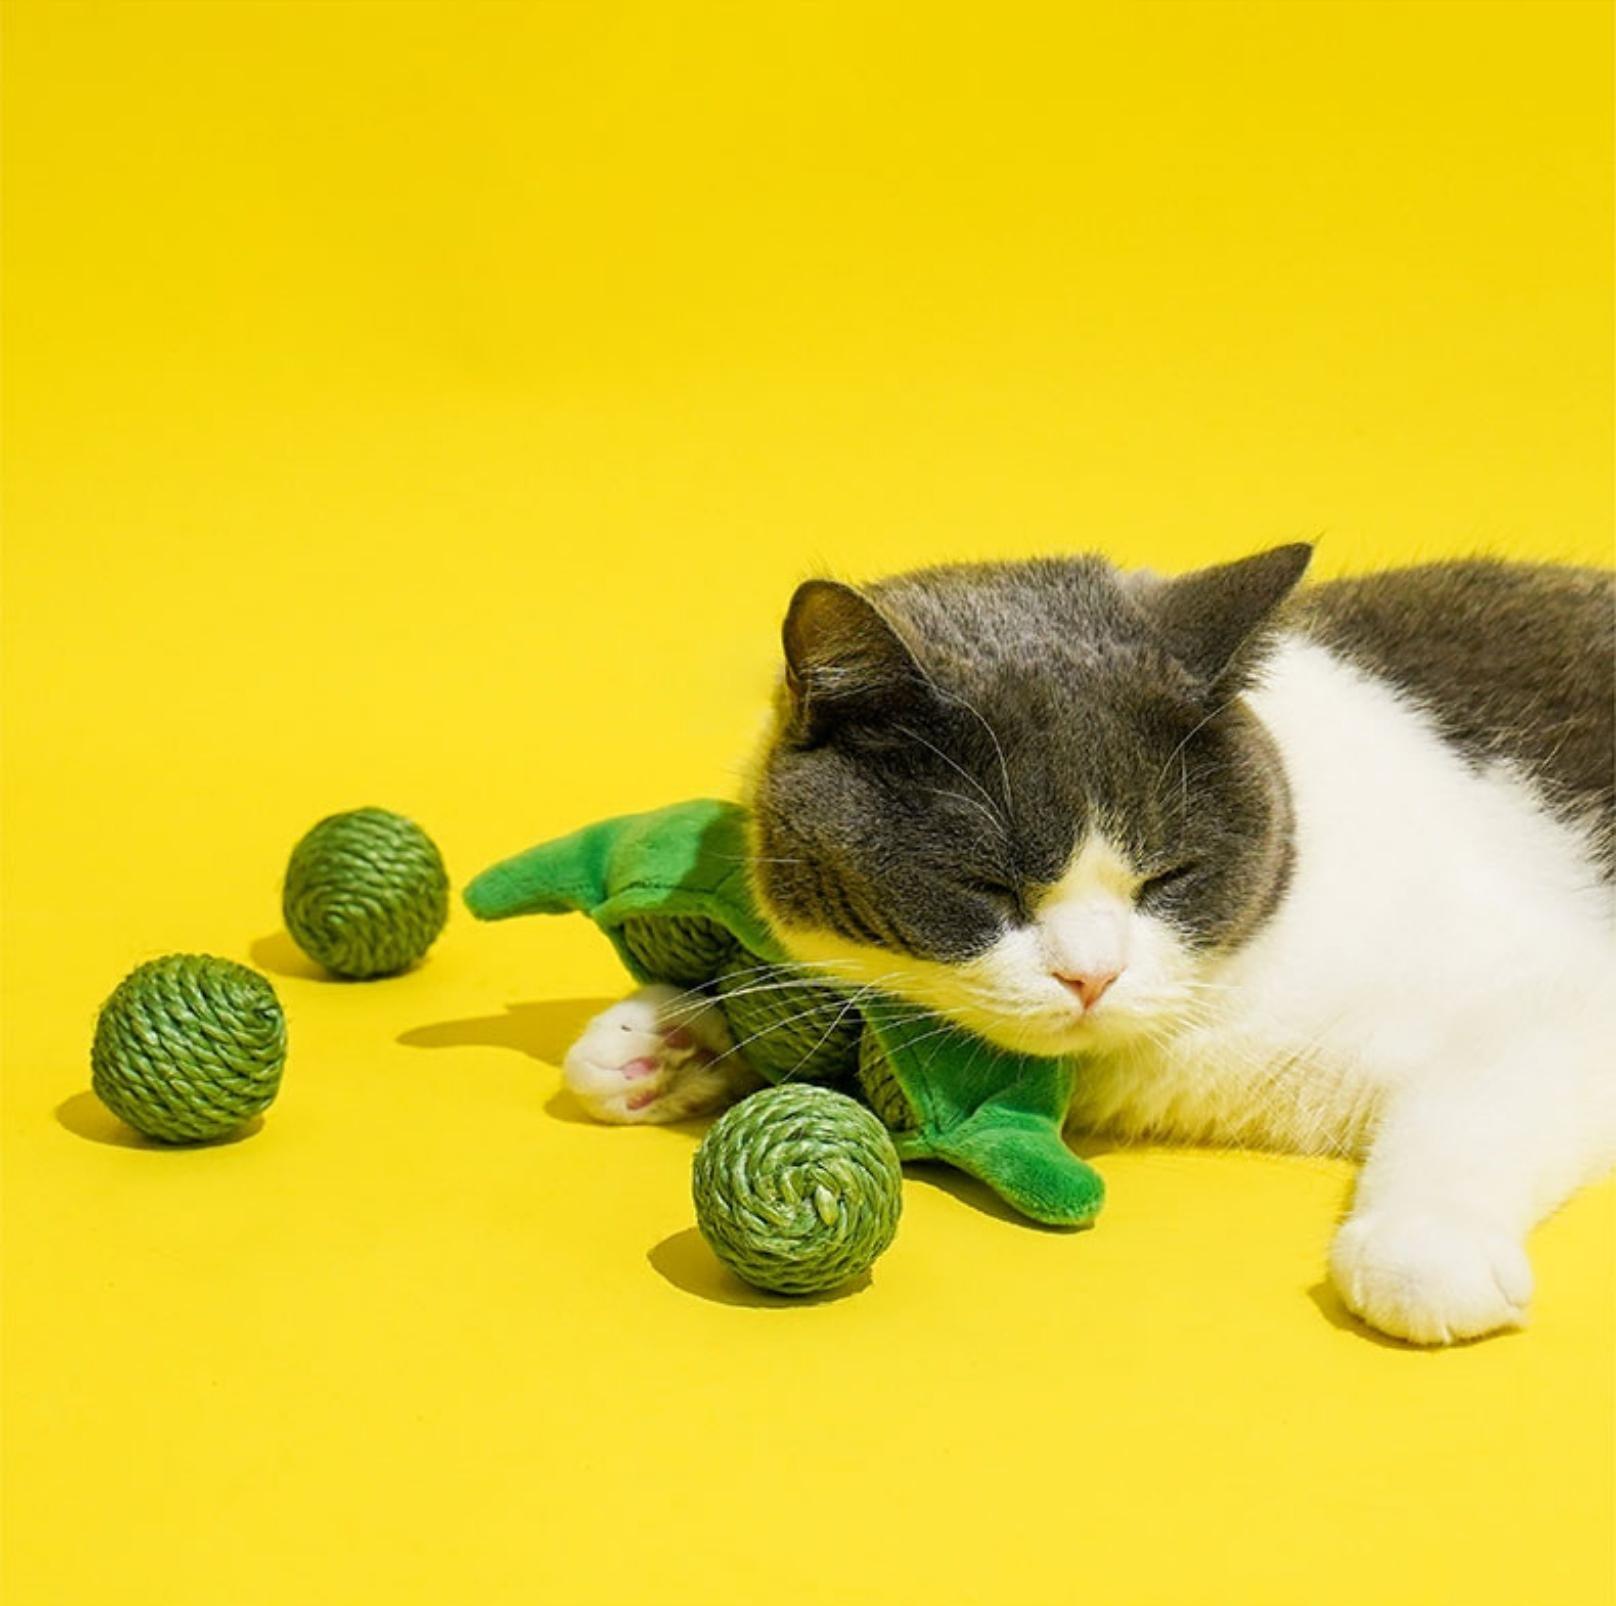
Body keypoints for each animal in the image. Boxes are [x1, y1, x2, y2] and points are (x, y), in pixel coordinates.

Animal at [562, 549, 1609, 1337]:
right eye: (986, 887)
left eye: (1170, 875)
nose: (1092, 976)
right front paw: (662, 1038)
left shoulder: (1551, 982)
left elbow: (1476, 1102)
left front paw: (1423, 1251)